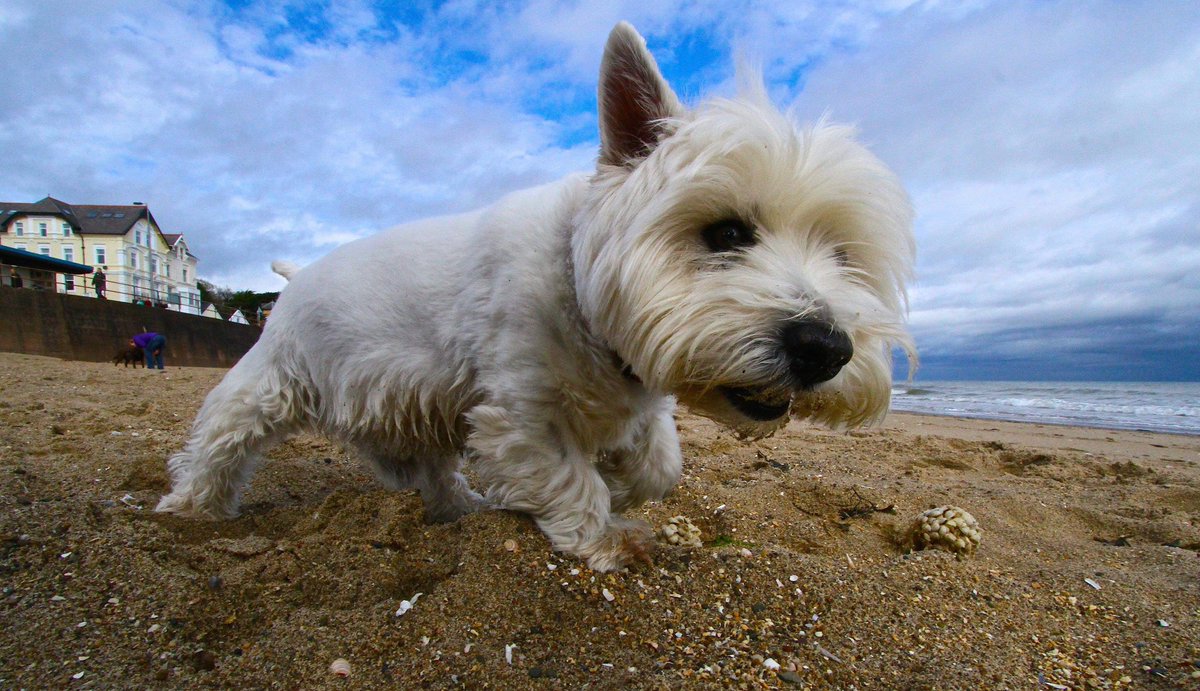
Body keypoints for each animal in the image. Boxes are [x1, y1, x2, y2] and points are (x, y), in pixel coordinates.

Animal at [157, 22, 907, 571]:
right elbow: (570, 479)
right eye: (725, 231)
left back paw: (456, 504)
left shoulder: (637, 399)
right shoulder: (519, 413)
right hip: (272, 379)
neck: (579, 292)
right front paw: (607, 534)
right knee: (221, 437)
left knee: (424, 467)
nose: (826, 347)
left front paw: (627, 483)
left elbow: (661, 463)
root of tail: (300, 273)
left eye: (843, 256)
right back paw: (190, 506)